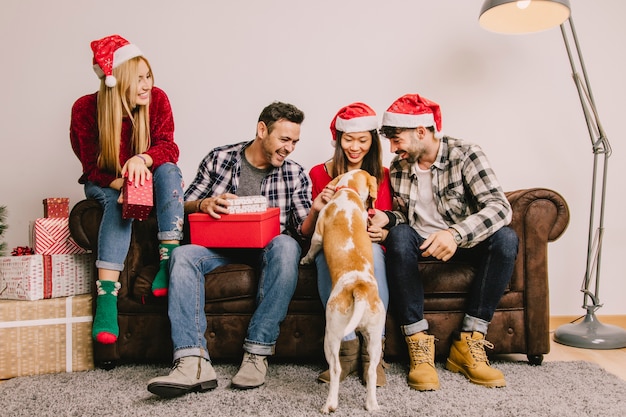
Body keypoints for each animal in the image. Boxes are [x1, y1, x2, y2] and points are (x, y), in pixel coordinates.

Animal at [300, 169, 382, 412]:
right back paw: (372, 404)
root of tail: (359, 288)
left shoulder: (318, 235)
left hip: (332, 333)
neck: (348, 191)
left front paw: (305, 259)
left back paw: (330, 404)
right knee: (371, 371)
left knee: (336, 369)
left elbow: (312, 248)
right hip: (375, 337)